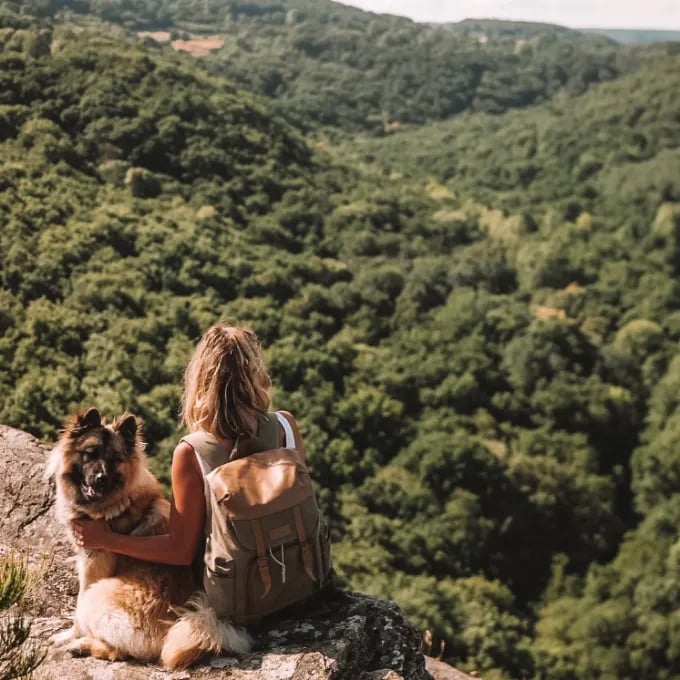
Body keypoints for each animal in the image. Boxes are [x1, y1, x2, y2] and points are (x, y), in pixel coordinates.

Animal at [46, 406, 252, 668]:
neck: (117, 502)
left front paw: (68, 635)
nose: (101, 479)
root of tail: (175, 623)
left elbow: (76, 611)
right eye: (90, 454)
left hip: (98, 596)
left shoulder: (92, 563)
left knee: (117, 652)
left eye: (115, 460)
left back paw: (81, 645)